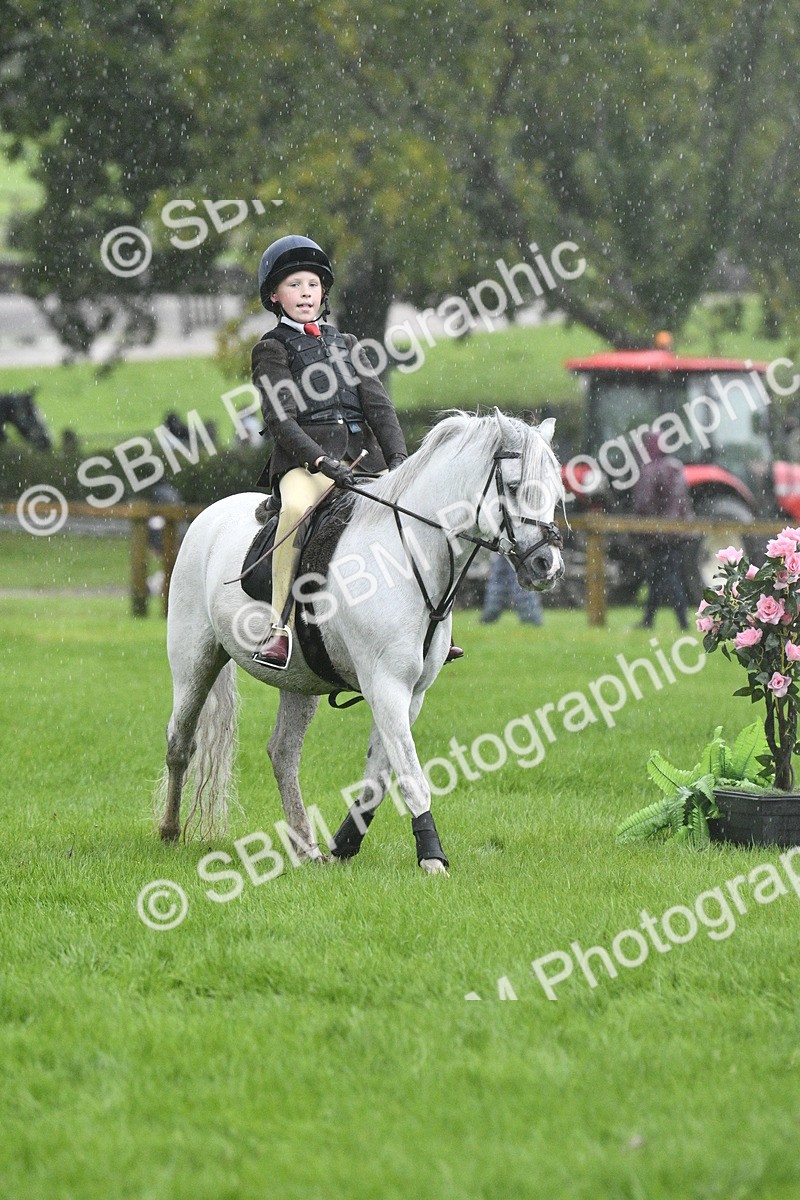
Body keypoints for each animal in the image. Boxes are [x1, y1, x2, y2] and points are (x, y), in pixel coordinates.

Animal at [155, 409, 565, 873]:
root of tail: (208, 516)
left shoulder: (411, 694)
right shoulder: (386, 685)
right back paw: (169, 830)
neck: (406, 559)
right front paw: (432, 857)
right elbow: (410, 775)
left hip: (299, 682)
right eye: (512, 487)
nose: (547, 565)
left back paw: (306, 846)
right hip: (196, 662)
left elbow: (379, 778)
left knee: (283, 753)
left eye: (554, 490)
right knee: (180, 742)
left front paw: (344, 845)